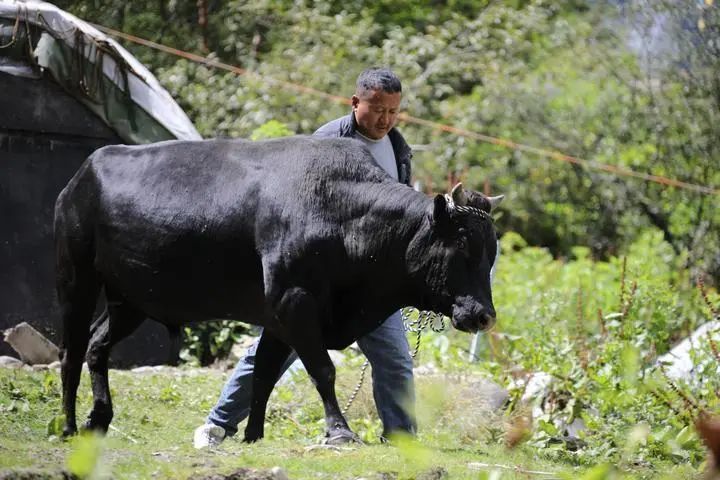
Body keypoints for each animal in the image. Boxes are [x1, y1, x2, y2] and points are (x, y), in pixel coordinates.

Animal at [54, 135, 500, 442]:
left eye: (492, 252)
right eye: (462, 247)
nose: (484, 316)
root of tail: (82, 173)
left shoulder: (279, 316)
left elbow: (265, 373)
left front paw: (254, 434)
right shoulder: (294, 301)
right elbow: (322, 370)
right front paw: (339, 430)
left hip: (128, 300)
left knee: (97, 346)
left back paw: (99, 418)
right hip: (77, 279)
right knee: (71, 352)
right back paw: (69, 424)